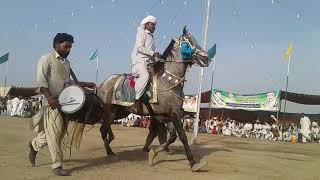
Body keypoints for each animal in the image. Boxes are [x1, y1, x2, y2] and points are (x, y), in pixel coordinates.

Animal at [97, 27, 210, 172]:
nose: (206, 57)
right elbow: (182, 137)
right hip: (111, 111)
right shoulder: (174, 115)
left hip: (120, 112)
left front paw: (153, 153)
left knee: (105, 128)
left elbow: (171, 136)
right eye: (188, 42)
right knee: (103, 129)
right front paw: (193, 162)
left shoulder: (167, 115)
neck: (168, 81)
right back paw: (110, 152)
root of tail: (103, 84)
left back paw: (110, 148)